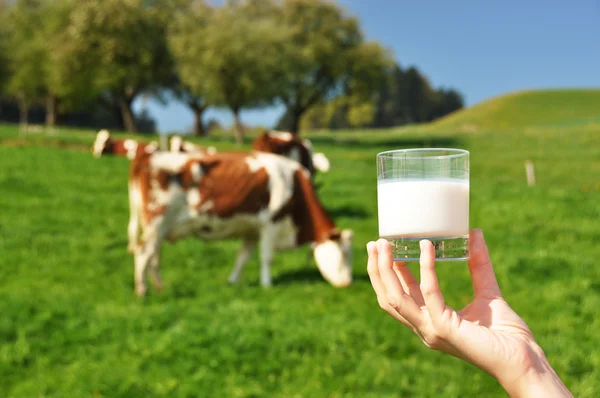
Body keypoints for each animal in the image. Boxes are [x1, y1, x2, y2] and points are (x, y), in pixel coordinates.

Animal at [126, 149, 352, 296]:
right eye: (343, 254)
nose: (348, 284)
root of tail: (146, 156)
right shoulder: (271, 224)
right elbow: (267, 258)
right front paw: (267, 284)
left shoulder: (252, 230)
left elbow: (243, 257)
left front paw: (232, 281)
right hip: (156, 223)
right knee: (143, 253)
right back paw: (142, 290)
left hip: (158, 229)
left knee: (154, 256)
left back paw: (159, 287)